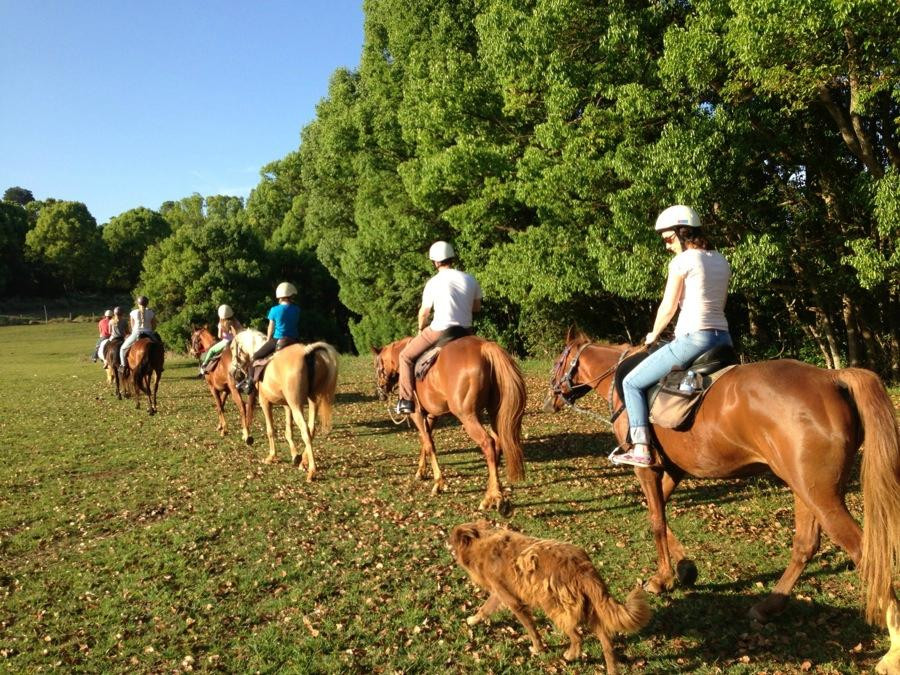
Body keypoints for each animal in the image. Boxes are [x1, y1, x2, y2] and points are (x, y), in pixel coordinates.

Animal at [230, 328, 340, 480]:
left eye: (231, 348)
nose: (232, 372)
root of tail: (306, 352)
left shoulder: (265, 402)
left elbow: (270, 430)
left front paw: (272, 456)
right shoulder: (286, 405)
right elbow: (288, 431)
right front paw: (295, 456)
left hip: (296, 405)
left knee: (305, 431)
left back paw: (312, 470)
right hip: (312, 401)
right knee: (311, 429)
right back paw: (304, 461)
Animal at [372, 338, 528, 512]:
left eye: (377, 366)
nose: (380, 392)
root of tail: (484, 347)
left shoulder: (416, 414)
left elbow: (429, 444)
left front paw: (438, 482)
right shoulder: (431, 416)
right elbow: (424, 441)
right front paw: (421, 471)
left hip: (467, 417)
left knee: (488, 443)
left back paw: (492, 498)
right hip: (494, 413)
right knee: (497, 443)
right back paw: (493, 493)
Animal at [450, 524, 652, 672]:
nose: (445, 541)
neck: (480, 543)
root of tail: (583, 567)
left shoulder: (513, 601)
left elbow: (531, 629)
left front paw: (537, 648)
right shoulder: (499, 593)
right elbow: (485, 608)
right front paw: (473, 619)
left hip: (554, 607)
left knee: (577, 636)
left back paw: (571, 655)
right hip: (591, 608)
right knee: (606, 642)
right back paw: (611, 669)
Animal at [544, 328, 900, 672]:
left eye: (557, 363)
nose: (550, 402)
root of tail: (833, 377)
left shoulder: (646, 467)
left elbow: (657, 520)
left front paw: (663, 578)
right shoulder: (673, 469)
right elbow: (658, 513)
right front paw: (684, 568)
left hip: (820, 495)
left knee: (866, 553)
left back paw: (892, 651)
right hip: (806, 489)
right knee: (806, 545)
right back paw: (770, 605)